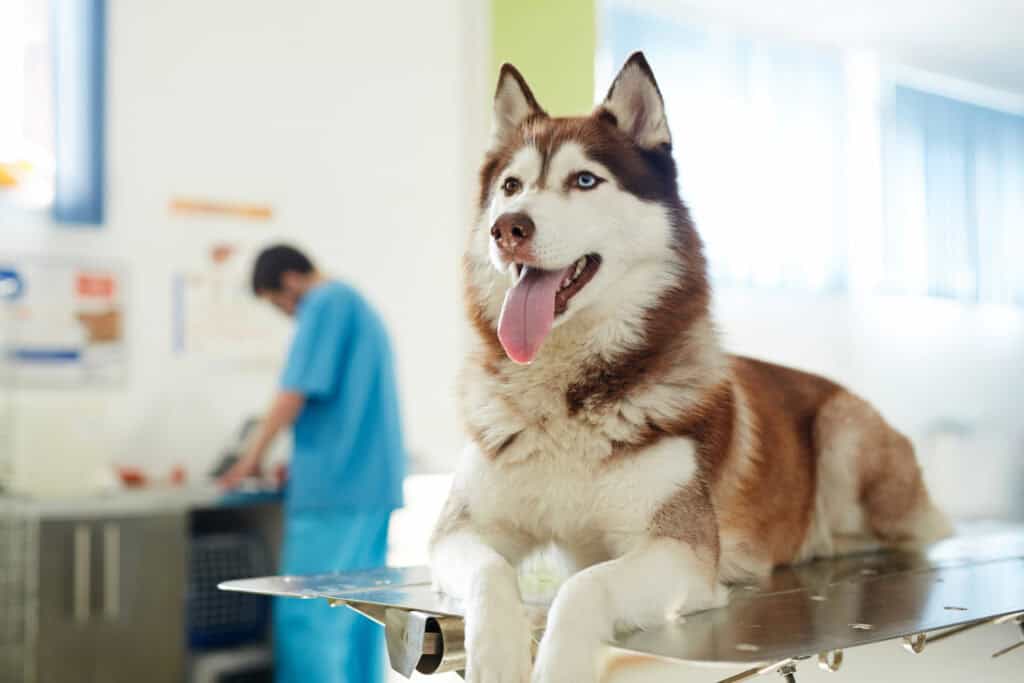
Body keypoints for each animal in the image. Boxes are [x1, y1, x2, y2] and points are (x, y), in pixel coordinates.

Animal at [425, 50, 950, 679]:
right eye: (511, 186)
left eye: (584, 180)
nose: (508, 228)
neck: (569, 398)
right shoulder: (461, 531)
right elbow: (490, 570)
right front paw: (496, 655)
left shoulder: (682, 551)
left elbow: (583, 587)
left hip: (843, 431)